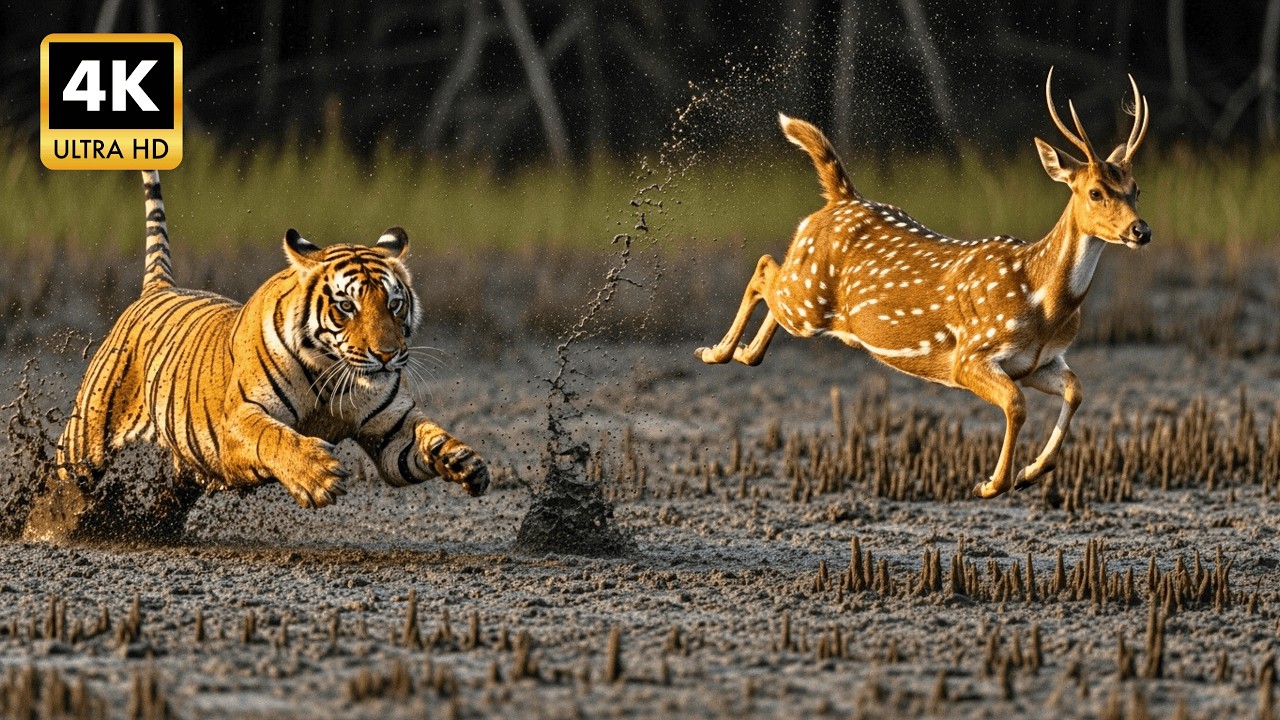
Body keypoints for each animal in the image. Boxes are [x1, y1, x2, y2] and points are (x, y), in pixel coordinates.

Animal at [23, 170, 490, 542]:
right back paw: (42, 531)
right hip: (86, 440)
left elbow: (426, 436)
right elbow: (276, 437)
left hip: (188, 464)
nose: (388, 355)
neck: (331, 370)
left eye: (394, 304)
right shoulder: (238, 420)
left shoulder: (391, 432)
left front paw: (466, 463)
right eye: (346, 306)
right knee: (61, 486)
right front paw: (318, 475)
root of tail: (158, 288)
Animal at [696, 69, 1150, 499]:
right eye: (1095, 192)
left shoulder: (1038, 361)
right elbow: (1016, 404)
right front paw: (991, 484)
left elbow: (1076, 390)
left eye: (1136, 189)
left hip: (804, 298)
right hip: (805, 300)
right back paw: (713, 351)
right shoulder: (970, 352)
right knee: (763, 268)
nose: (1141, 230)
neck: (1041, 300)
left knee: (769, 285)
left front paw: (1029, 473)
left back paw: (742, 353)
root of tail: (842, 198)